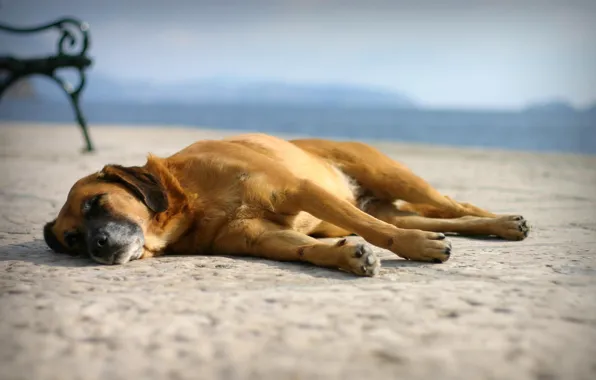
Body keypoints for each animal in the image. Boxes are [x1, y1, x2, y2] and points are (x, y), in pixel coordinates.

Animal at [44, 134, 528, 276]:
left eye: (96, 203)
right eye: (72, 240)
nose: (98, 246)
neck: (190, 201)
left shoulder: (299, 190)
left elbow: (375, 231)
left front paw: (416, 247)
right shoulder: (261, 237)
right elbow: (305, 249)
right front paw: (348, 258)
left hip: (390, 175)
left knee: (453, 202)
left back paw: (506, 222)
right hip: (382, 203)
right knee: (446, 215)